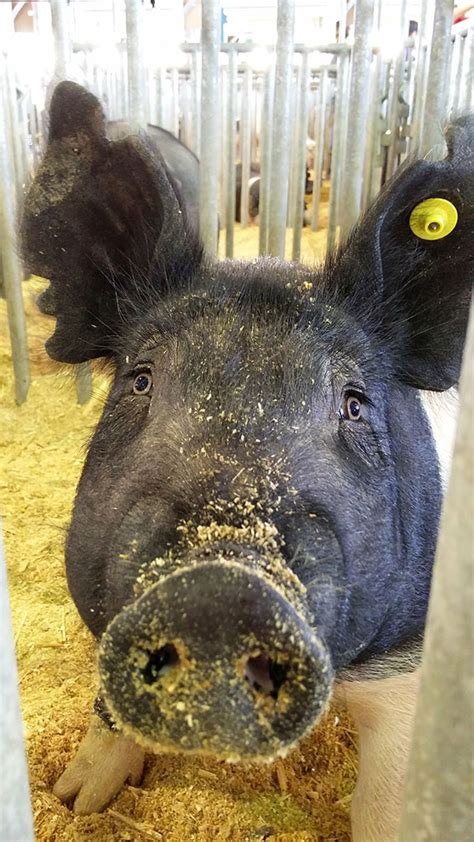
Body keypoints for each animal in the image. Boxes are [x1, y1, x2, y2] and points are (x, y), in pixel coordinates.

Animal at [22, 80, 474, 840]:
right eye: (139, 381)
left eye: (355, 403)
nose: (219, 589)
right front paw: (74, 799)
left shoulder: (406, 666)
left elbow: (382, 804)